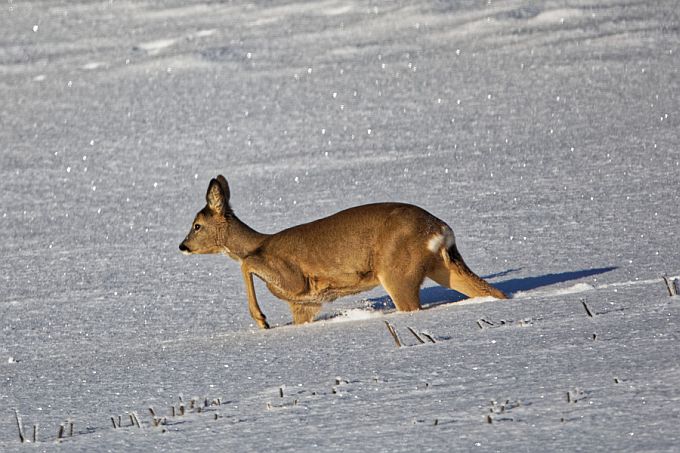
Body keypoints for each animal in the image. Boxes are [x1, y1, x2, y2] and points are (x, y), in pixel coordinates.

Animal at [178, 176, 508, 328]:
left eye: (196, 225)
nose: (182, 246)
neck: (260, 243)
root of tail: (439, 228)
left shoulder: (294, 279)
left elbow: (245, 264)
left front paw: (261, 320)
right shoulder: (305, 305)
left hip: (397, 271)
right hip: (442, 265)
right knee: (491, 291)